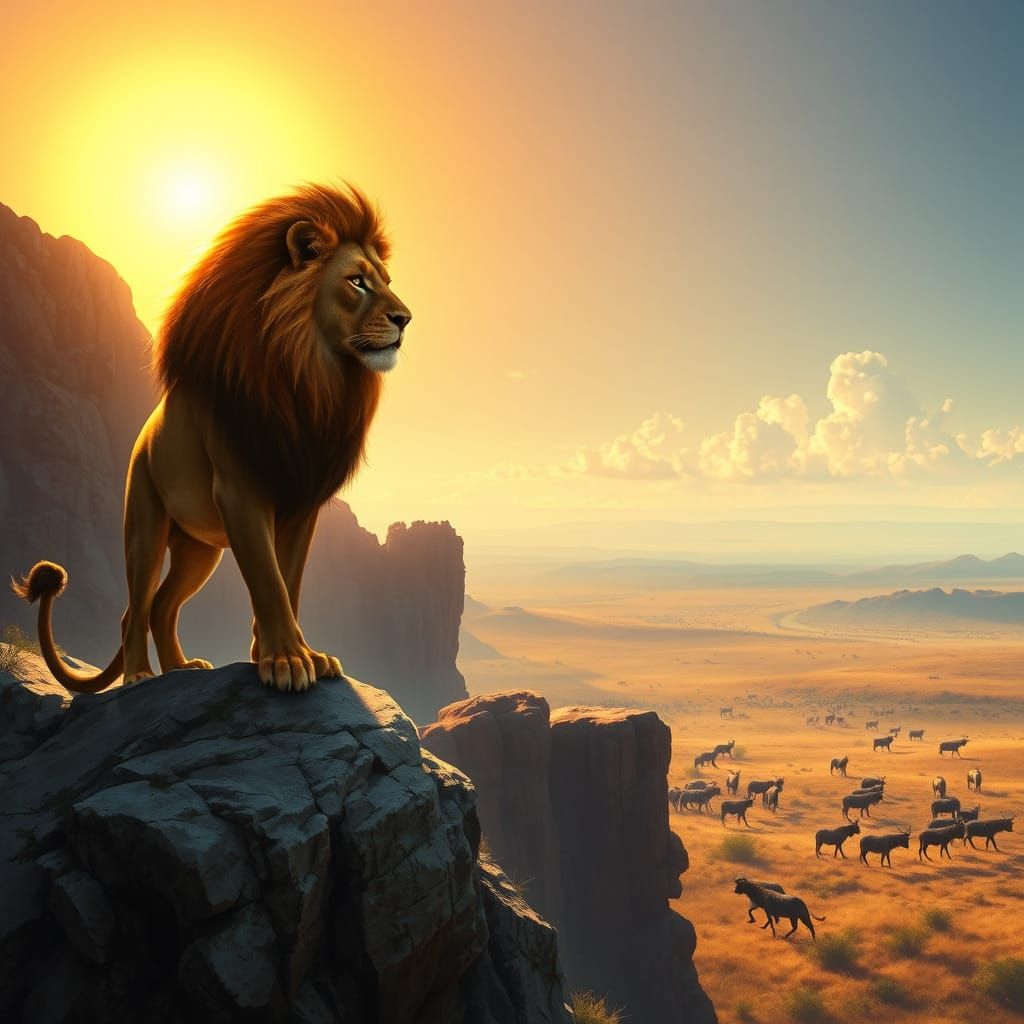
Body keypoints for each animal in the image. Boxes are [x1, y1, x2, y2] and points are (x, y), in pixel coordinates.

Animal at [13, 183, 411, 694]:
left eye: (386, 279)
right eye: (357, 281)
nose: (405, 318)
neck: (311, 381)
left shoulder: (301, 504)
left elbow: (289, 582)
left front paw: (290, 656)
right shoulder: (241, 491)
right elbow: (268, 581)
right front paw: (287, 661)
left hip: (199, 551)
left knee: (162, 606)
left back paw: (182, 668)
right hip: (145, 525)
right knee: (134, 609)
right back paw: (139, 675)